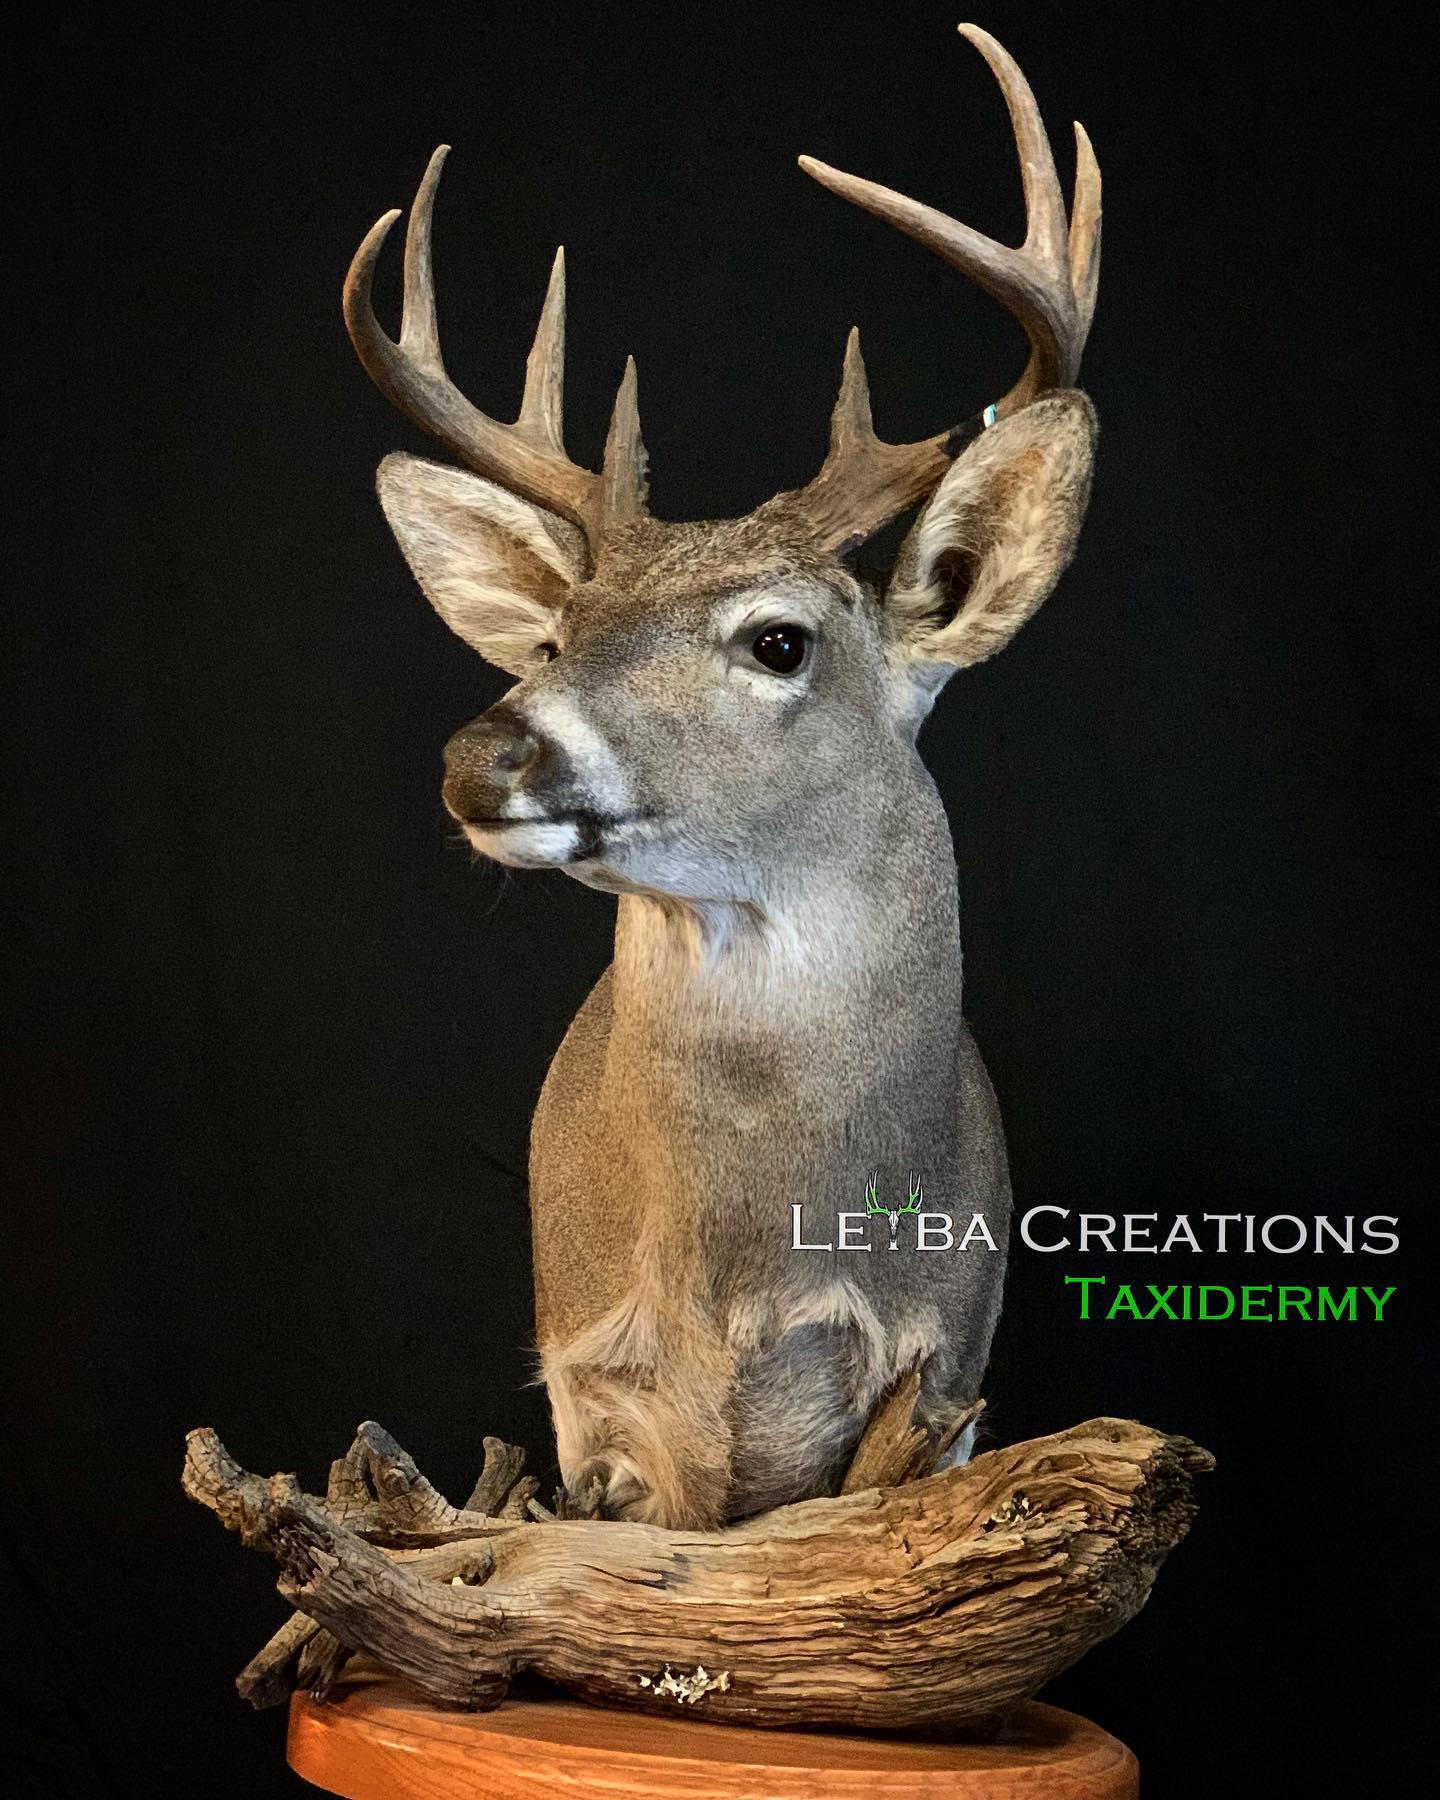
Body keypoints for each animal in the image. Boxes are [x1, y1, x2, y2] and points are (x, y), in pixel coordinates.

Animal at [342, 24, 1100, 1530]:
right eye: (557, 636)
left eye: (778, 639)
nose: (485, 751)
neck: (758, 1275)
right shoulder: (593, 1395)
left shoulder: (947, 1384)